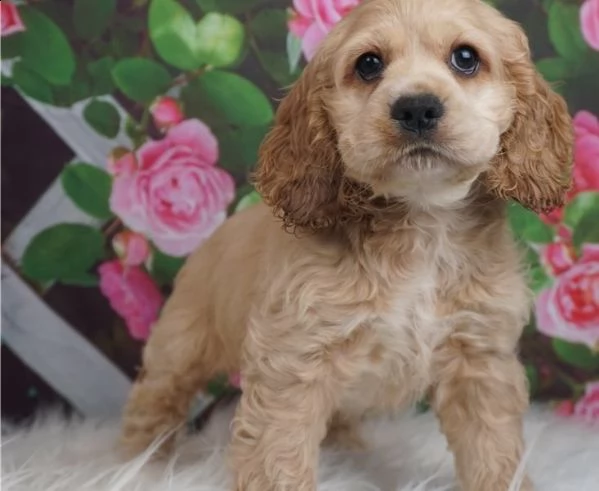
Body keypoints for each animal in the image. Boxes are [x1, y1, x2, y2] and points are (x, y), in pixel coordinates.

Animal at [119, 0, 576, 490]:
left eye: (466, 58)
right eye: (369, 64)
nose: (417, 108)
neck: (422, 220)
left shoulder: (479, 358)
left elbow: (494, 453)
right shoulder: (293, 361)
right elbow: (278, 455)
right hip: (180, 345)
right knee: (154, 400)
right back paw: (141, 463)